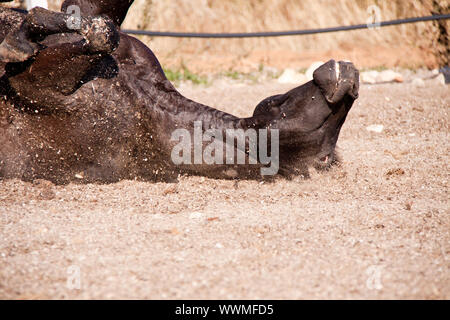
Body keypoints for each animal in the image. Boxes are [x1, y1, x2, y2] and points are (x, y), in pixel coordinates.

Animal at [0, 0, 358, 184]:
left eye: (325, 158)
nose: (350, 81)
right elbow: (97, 20)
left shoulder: (39, 85)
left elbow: (101, 33)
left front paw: (18, 41)